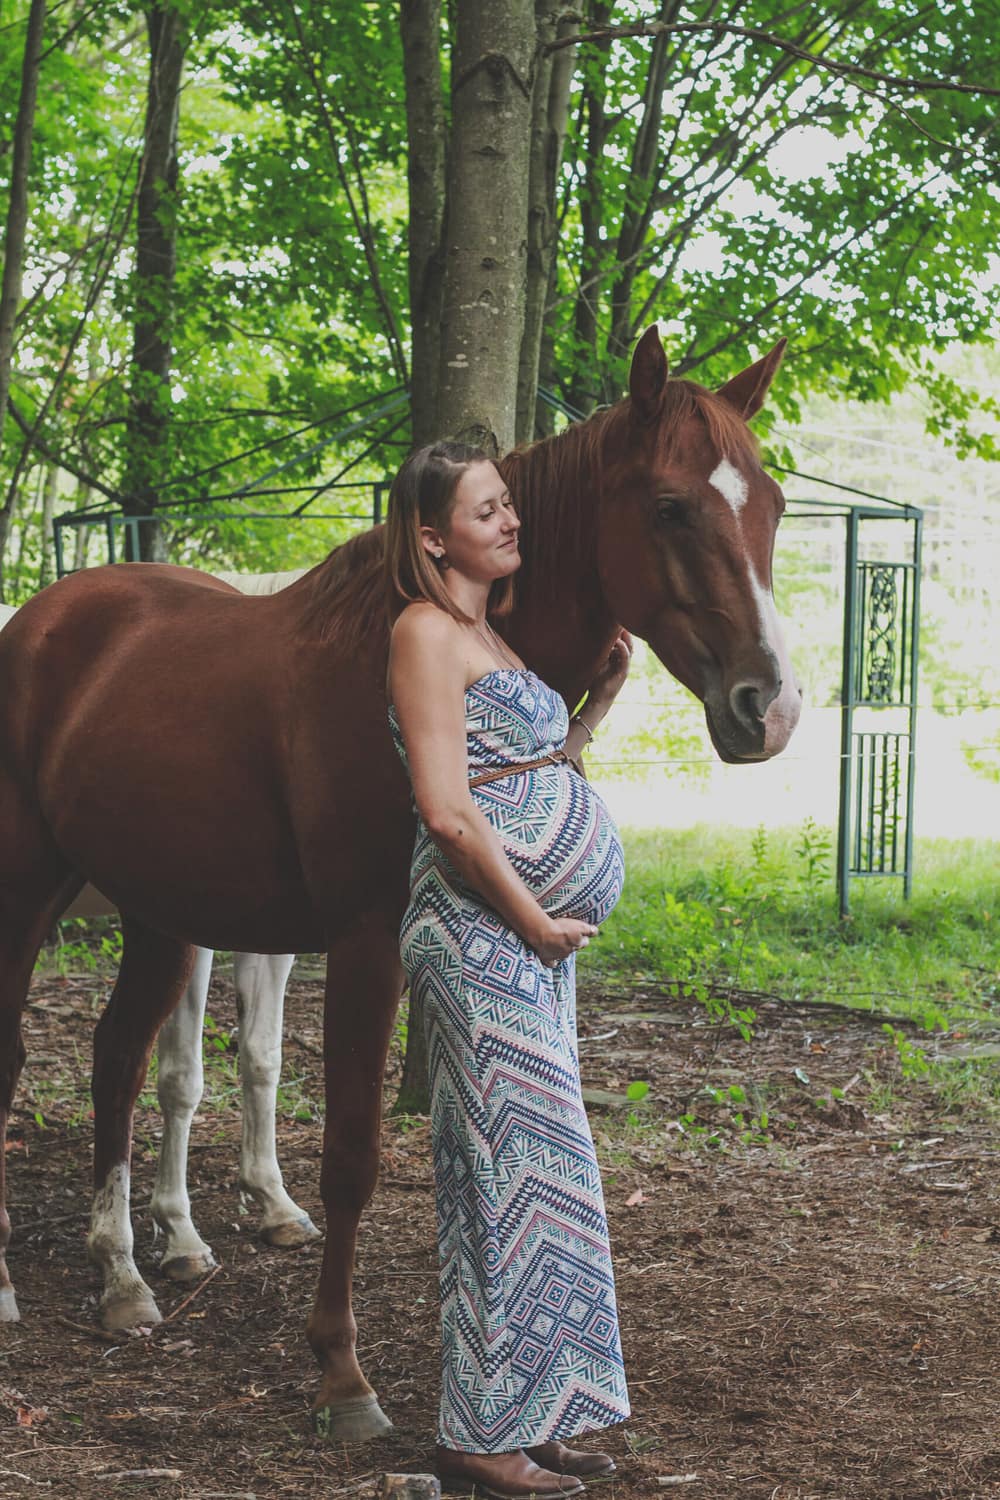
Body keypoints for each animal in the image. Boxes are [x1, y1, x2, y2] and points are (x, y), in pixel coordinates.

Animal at [0, 327, 801, 1442]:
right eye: (672, 506)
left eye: (772, 503)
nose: (769, 708)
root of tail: (44, 620)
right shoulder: (365, 939)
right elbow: (350, 1156)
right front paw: (342, 1374)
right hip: (29, 893)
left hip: (160, 912)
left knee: (117, 1061)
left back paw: (123, 1279)